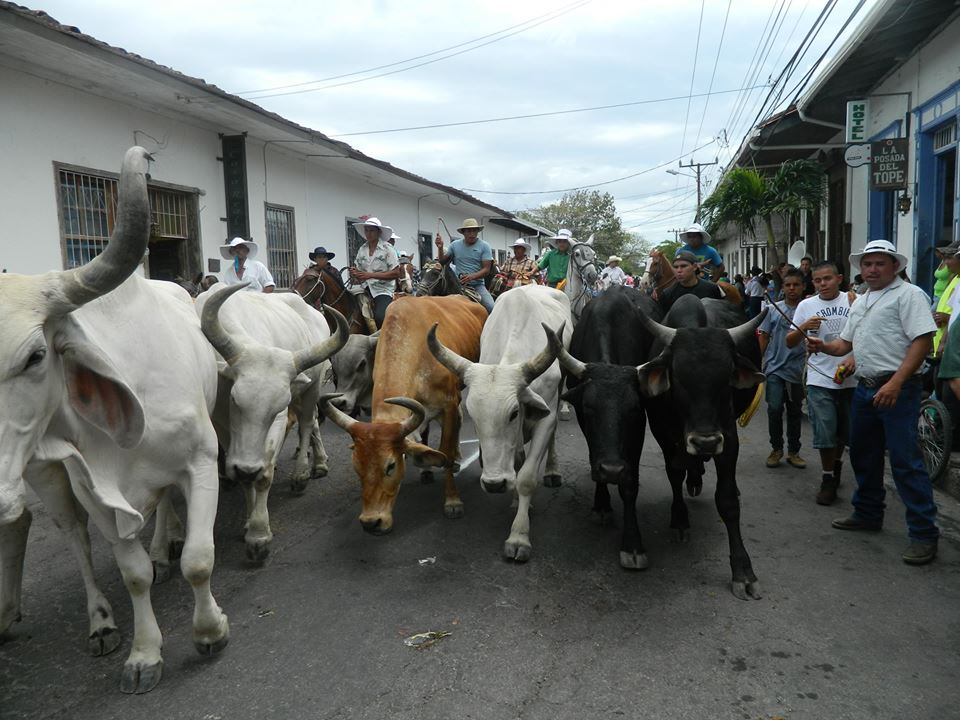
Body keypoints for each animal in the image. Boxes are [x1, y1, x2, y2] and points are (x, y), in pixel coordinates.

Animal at [0, 146, 228, 692]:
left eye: (35, 356)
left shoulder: (201, 462)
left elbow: (198, 560)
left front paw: (209, 631)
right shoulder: (95, 493)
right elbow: (132, 574)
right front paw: (143, 654)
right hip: (44, 474)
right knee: (75, 538)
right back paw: (101, 620)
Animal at [194, 282, 344, 564]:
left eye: (276, 408)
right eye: (235, 399)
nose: (246, 469)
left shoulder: (282, 418)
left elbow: (264, 474)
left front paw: (258, 535)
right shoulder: (222, 424)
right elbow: (245, 474)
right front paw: (247, 518)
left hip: (313, 387)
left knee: (307, 425)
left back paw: (303, 472)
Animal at [322, 294, 488, 536]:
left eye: (391, 466)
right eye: (356, 467)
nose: (371, 522)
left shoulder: (448, 404)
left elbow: (446, 451)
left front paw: (452, 500)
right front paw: (426, 467)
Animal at [428, 286, 568, 564]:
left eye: (513, 413)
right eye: (474, 415)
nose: (494, 484)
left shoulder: (545, 415)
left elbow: (526, 477)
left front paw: (518, 537)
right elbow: (516, 462)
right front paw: (516, 501)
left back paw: (551, 471)